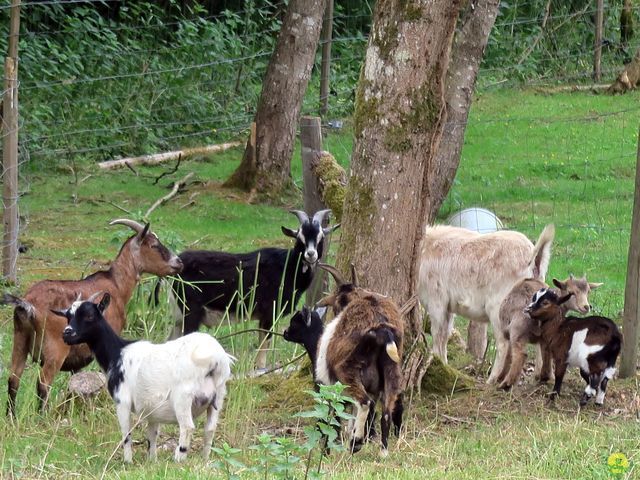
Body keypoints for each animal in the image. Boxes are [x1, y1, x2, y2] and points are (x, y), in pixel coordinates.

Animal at [4, 218, 182, 416]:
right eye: (154, 245)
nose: (179, 263)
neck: (116, 285)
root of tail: (28, 305)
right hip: (55, 349)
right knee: (43, 382)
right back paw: (42, 416)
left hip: (19, 340)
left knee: (13, 378)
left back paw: (11, 416)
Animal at [55, 290, 230, 464]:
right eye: (68, 316)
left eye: (90, 315)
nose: (67, 333)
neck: (117, 353)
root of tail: (215, 359)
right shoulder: (152, 409)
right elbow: (152, 435)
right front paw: (152, 461)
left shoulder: (122, 401)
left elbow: (126, 434)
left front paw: (128, 462)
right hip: (219, 395)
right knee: (210, 428)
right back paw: (204, 460)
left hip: (183, 397)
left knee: (187, 427)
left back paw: (178, 460)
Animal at [172, 208, 338, 370]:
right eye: (299, 237)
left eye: (321, 237)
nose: (311, 254)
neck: (288, 267)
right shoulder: (270, 312)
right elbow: (264, 344)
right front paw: (260, 368)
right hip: (191, 311)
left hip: (179, 315)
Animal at [284, 264, 402, 456]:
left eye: (295, 322)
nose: (285, 332)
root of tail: (382, 326)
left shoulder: (326, 389)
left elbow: (330, 419)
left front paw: (327, 450)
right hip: (391, 369)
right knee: (385, 412)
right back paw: (382, 452)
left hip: (348, 370)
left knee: (364, 403)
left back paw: (357, 442)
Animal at [418, 223, 552, 384]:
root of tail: (533, 255)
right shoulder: (448, 307)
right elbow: (445, 335)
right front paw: (444, 367)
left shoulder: (436, 301)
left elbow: (437, 335)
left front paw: (437, 364)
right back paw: (539, 377)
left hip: (499, 308)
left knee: (504, 344)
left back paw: (492, 380)